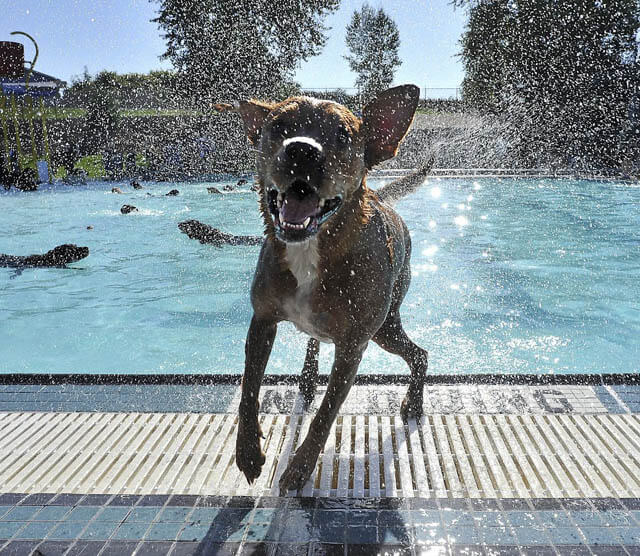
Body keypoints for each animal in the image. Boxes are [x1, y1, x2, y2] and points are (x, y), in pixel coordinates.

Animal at [235, 84, 430, 494]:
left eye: (342, 135)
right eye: (278, 125)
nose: (301, 149)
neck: (312, 250)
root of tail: (382, 199)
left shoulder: (354, 345)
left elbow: (326, 415)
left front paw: (299, 468)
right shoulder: (262, 321)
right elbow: (248, 388)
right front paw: (247, 452)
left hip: (384, 329)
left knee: (419, 354)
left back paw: (413, 404)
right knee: (314, 339)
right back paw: (308, 376)